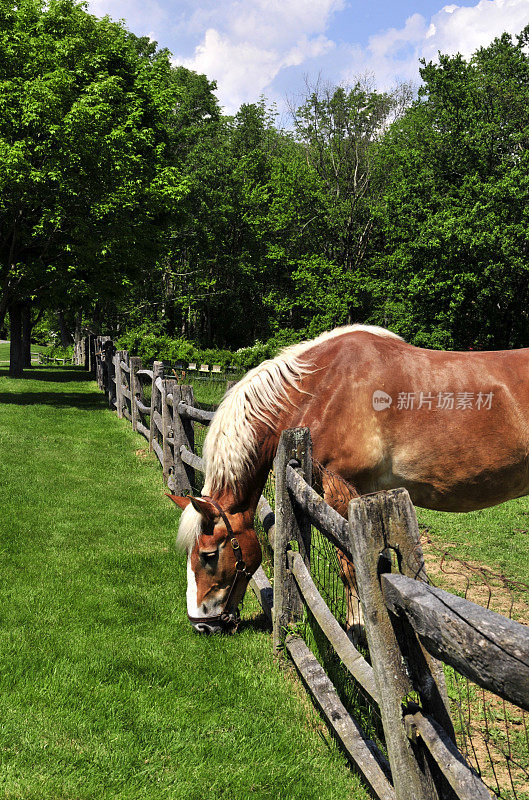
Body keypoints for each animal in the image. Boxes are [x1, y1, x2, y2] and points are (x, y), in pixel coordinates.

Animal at [167, 324, 528, 632]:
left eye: (208, 555)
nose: (201, 625)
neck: (321, 389)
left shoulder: (345, 495)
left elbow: (351, 568)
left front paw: (359, 631)